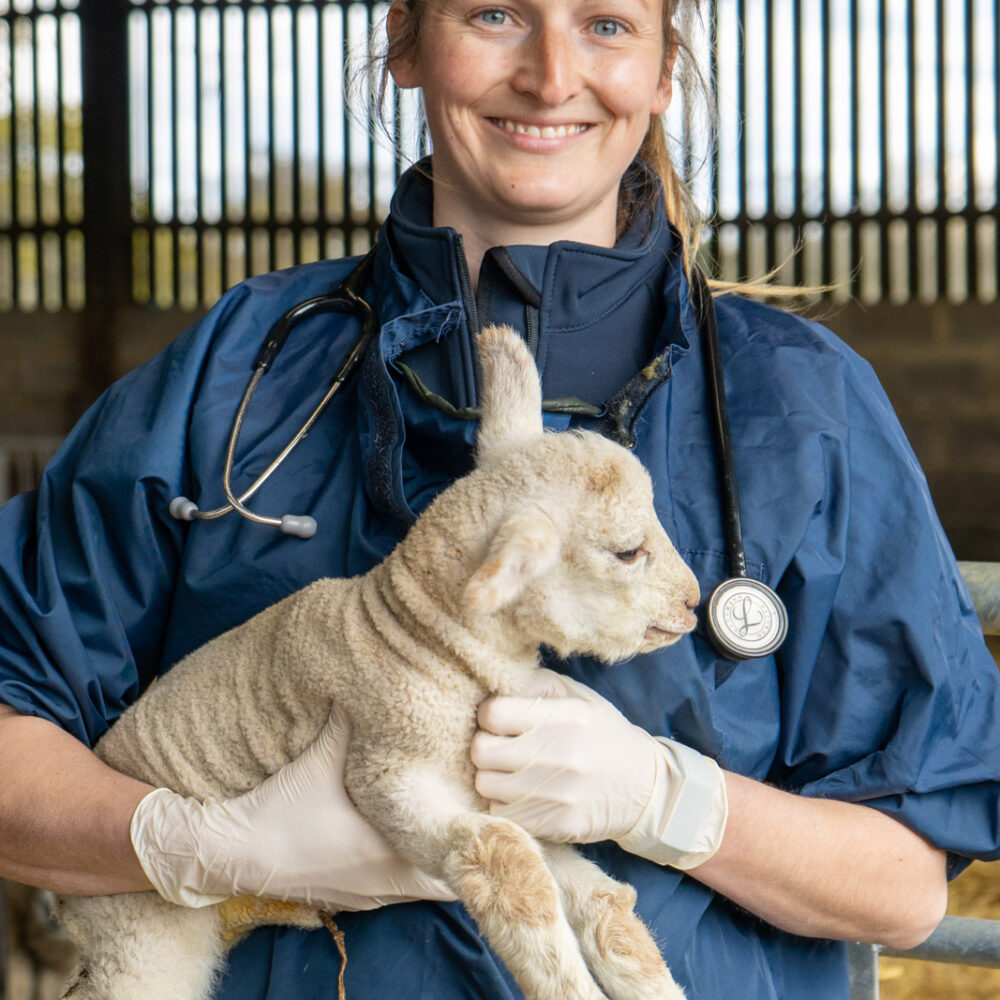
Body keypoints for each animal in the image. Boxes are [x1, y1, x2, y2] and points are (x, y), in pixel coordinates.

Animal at [54, 324, 700, 996]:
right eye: (627, 552)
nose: (693, 601)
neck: (421, 640)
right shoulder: (385, 769)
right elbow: (505, 860)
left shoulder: (486, 791)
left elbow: (606, 907)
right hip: (142, 929)